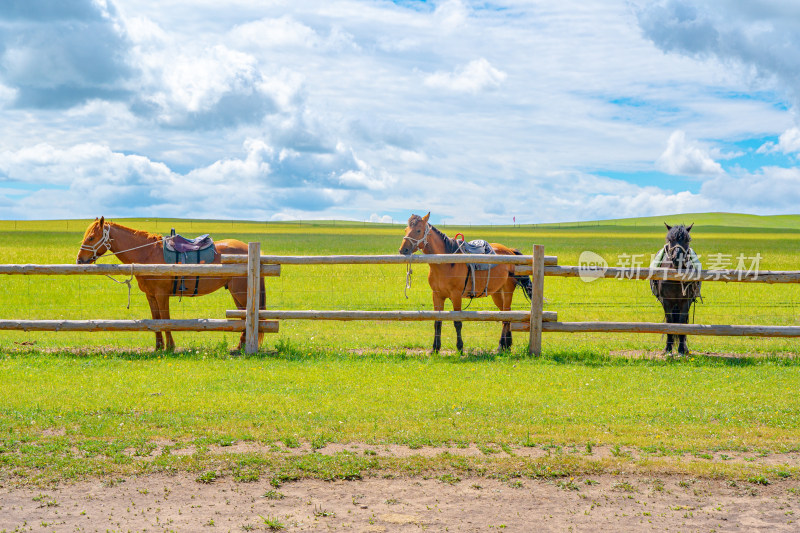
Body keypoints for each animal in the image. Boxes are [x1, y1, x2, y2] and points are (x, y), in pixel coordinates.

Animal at [75, 214, 264, 352]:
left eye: (91, 238)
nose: (79, 260)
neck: (147, 253)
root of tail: (248, 249)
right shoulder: (151, 296)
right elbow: (155, 319)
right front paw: (159, 347)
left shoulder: (161, 294)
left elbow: (165, 319)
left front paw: (170, 347)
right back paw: (240, 347)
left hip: (240, 293)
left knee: (247, 317)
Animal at [398, 212, 536, 354]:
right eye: (406, 229)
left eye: (418, 230)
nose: (403, 250)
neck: (446, 262)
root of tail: (510, 251)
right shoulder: (437, 295)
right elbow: (437, 322)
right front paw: (435, 348)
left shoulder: (456, 296)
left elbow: (457, 322)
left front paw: (460, 347)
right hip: (496, 293)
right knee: (504, 315)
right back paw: (506, 345)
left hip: (507, 290)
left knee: (506, 317)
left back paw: (501, 345)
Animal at [648, 222, 700, 356]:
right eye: (670, 240)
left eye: (688, 240)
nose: (678, 259)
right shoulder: (666, 301)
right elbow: (670, 322)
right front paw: (668, 349)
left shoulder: (686, 302)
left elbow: (681, 322)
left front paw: (681, 349)